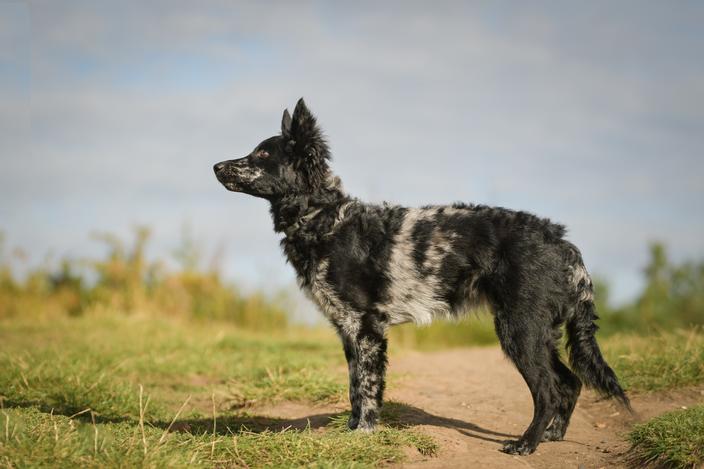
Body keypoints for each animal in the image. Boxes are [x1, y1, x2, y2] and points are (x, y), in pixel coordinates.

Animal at [212, 98, 628, 454]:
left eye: (263, 154)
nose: (215, 166)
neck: (327, 219)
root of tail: (562, 242)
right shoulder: (349, 330)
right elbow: (354, 388)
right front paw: (352, 430)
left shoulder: (366, 329)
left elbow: (366, 388)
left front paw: (364, 433)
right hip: (537, 333)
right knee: (570, 383)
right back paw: (553, 436)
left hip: (520, 331)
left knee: (548, 390)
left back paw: (526, 444)